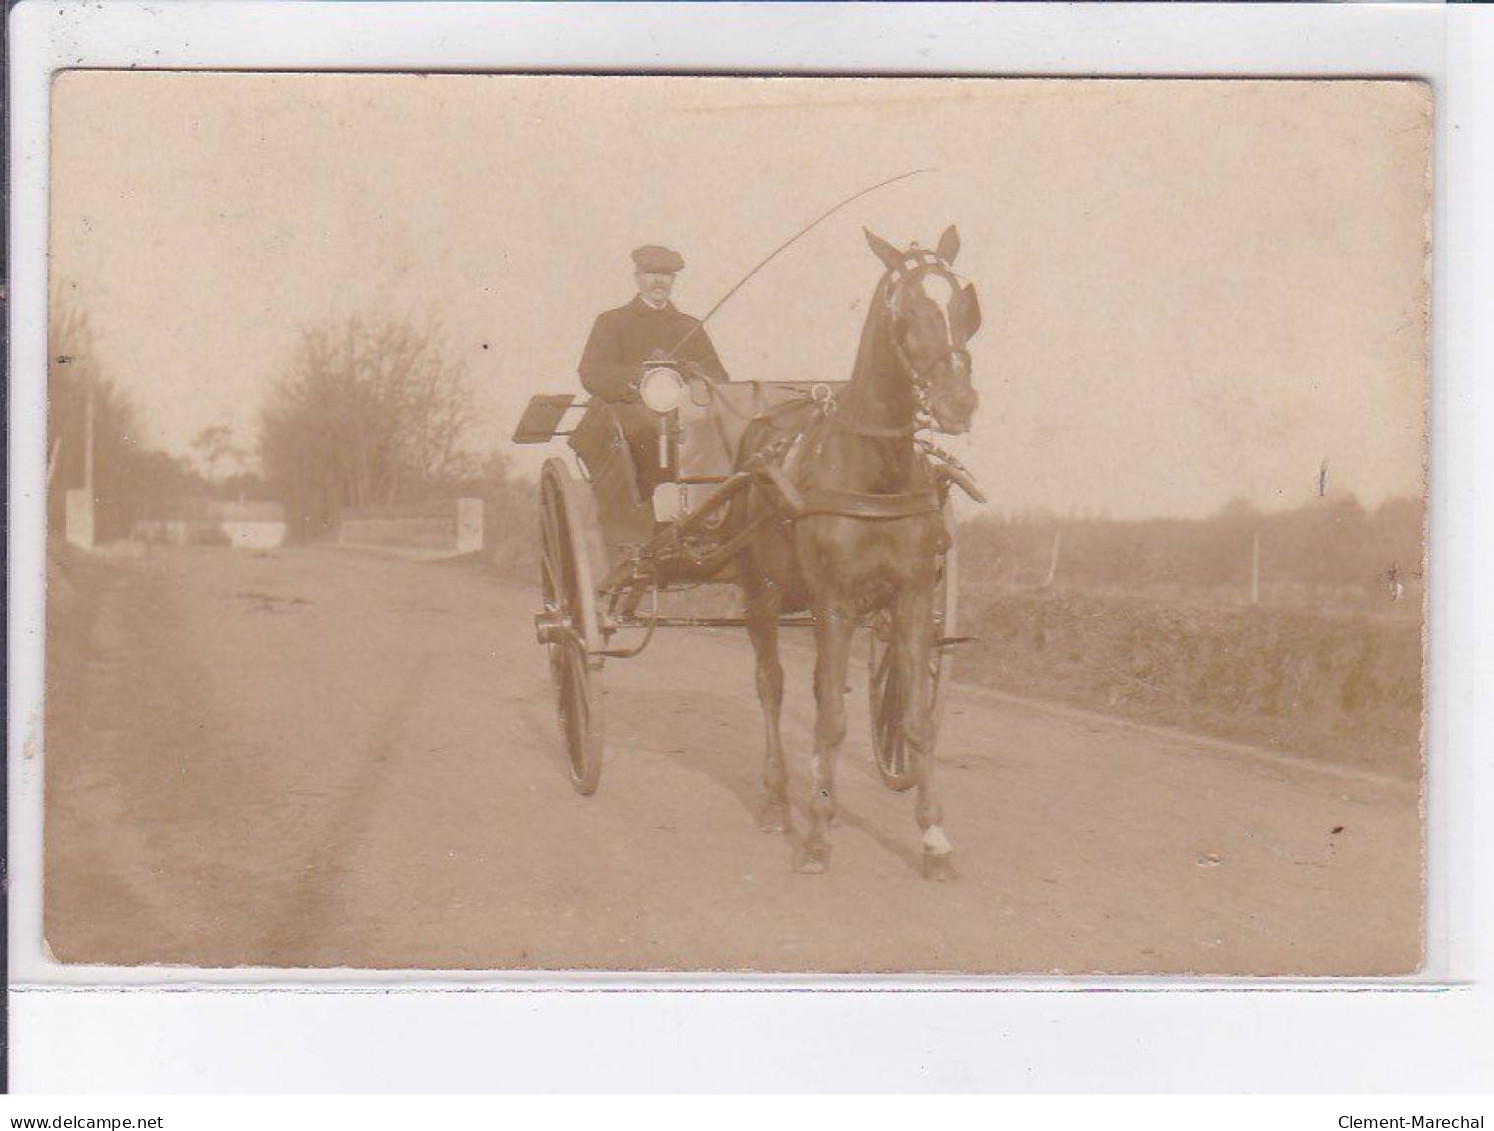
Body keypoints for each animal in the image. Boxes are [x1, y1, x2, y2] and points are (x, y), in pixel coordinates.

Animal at [732, 221, 980, 872]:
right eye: (908, 312)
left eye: (963, 309)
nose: (959, 404)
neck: (875, 471)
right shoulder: (836, 601)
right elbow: (832, 717)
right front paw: (816, 836)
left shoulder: (912, 598)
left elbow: (914, 721)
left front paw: (932, 835)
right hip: (761, 594)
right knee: (773, 686)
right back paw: (779, 801)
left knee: (820, 687)